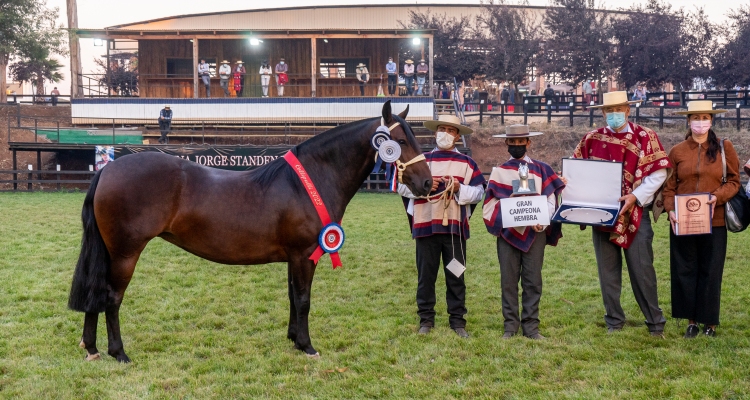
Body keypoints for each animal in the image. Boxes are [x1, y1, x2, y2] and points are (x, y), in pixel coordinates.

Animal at [70, 101, 434, 362]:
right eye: (400, 141)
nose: (428, 183)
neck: (310, 180)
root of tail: (108, 170)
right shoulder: (304, 255)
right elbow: (304, 300)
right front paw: (308, 346)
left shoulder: (294, 258)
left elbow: (292, 298)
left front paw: (294, 339)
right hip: (125, 254)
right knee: (111, 298)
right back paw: (118, 353)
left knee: (96, 293)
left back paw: (91, 348)